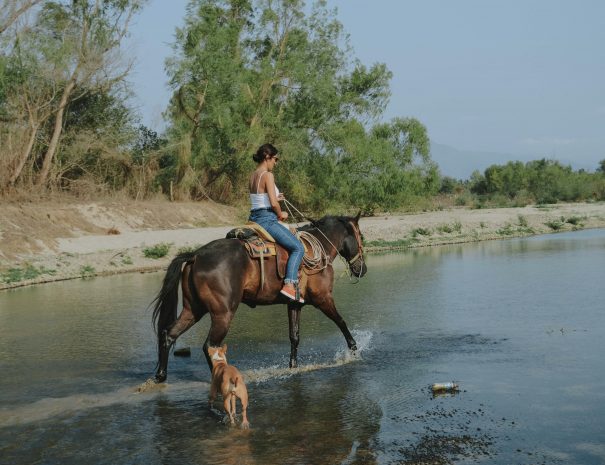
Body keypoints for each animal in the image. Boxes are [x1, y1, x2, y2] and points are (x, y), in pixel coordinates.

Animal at [151, 212, 368, 382]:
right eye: (362, 237)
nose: (362, 269)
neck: (319, 248)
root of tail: (195, 255)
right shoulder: (323, 299)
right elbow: (341, 322)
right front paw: (354, 349)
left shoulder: (295, 304)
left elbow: (294, 336)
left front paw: (293, 365)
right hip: (223, 314)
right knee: (210, 346)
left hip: (193, 310)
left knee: (169, 334)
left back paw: (161, 374)